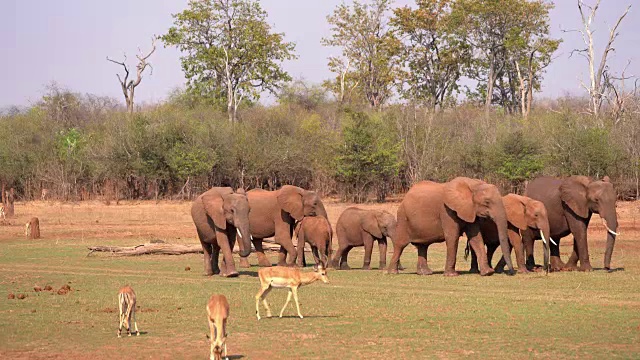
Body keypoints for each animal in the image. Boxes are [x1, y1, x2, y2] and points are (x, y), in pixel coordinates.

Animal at [384, 177, 516, 276]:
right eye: (487, 202)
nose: (511, 272)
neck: (472, 184)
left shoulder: (469, 210)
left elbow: (476, 238)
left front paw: (488, 273)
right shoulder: (446, 211)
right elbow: (453, 237)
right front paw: (451, 275)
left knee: (423, 245)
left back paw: (425, 273)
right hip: (403, 217)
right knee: (401, 244)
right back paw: (392, 272)